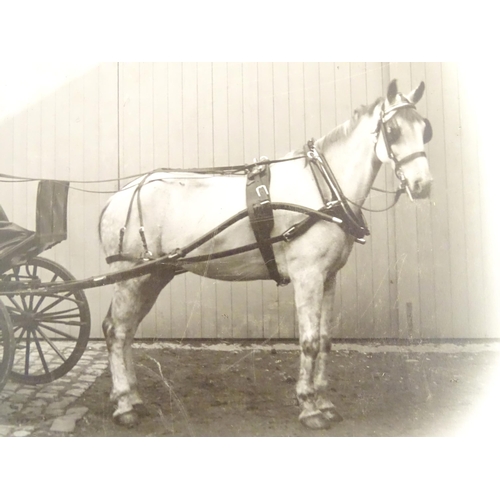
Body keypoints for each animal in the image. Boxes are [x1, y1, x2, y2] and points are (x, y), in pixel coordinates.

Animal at [99, 80, 432, 428]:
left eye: (425, 129)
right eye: (393, 130)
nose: (423, 185)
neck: (322, 190)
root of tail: (119, 196)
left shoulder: (328, 278)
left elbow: (325, 339)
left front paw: (325, 402)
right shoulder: (307, 276)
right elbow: (310, 341)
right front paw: (309, 406)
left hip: (153, 275)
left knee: (127, 329)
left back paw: (133, 397)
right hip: (131, 278)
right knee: (116, 330)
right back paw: (124, 405)